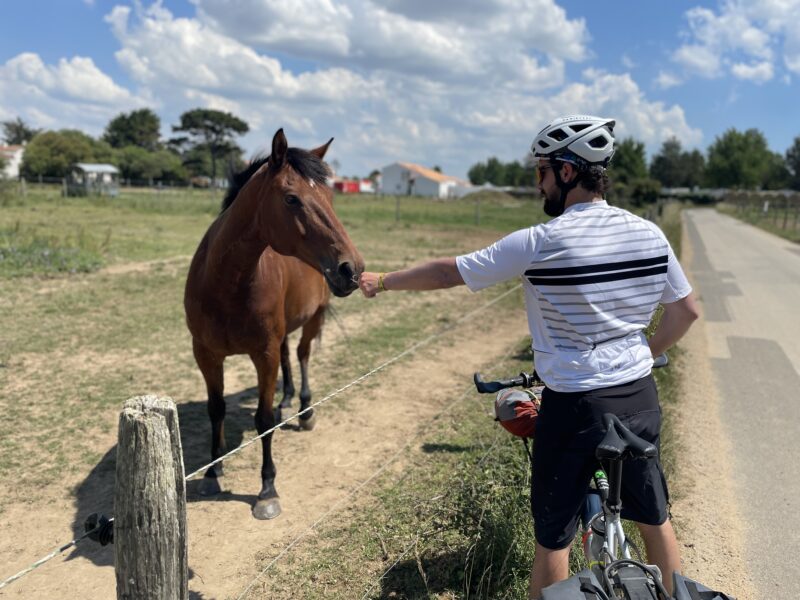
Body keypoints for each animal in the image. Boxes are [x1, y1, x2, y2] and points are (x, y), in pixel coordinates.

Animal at [184, 129, 362, 516]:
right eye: (292, 199)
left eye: (330, 196)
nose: (352, 269)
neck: (225, 284)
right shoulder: (206, 354)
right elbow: (215, 410)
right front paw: (213, 472)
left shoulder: (261, 355)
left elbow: (263, 421)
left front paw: (267, 490)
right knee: (287, 354)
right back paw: (288, 398)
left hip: (314, 317)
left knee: (302, 354)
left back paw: (305, 409)